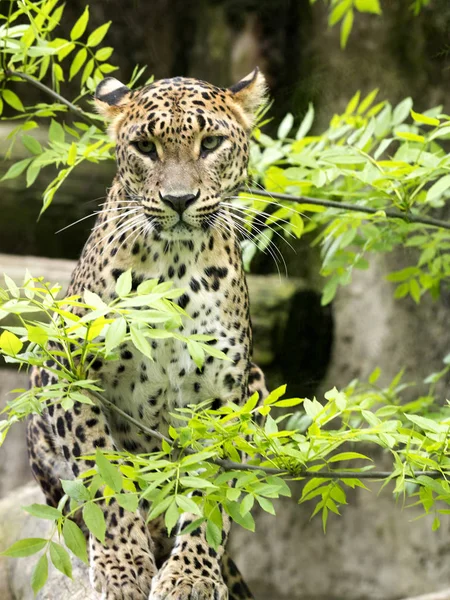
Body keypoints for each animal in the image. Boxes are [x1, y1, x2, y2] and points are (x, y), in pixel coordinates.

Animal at [26, 68, 268, 596]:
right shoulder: (71, 377)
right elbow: (102, 474)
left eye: (210, 143)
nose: (179, 201)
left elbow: (210, 492)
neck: (175, 268)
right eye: (145, 147)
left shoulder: (223, 397)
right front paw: (121, 565)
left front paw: (191, 575)